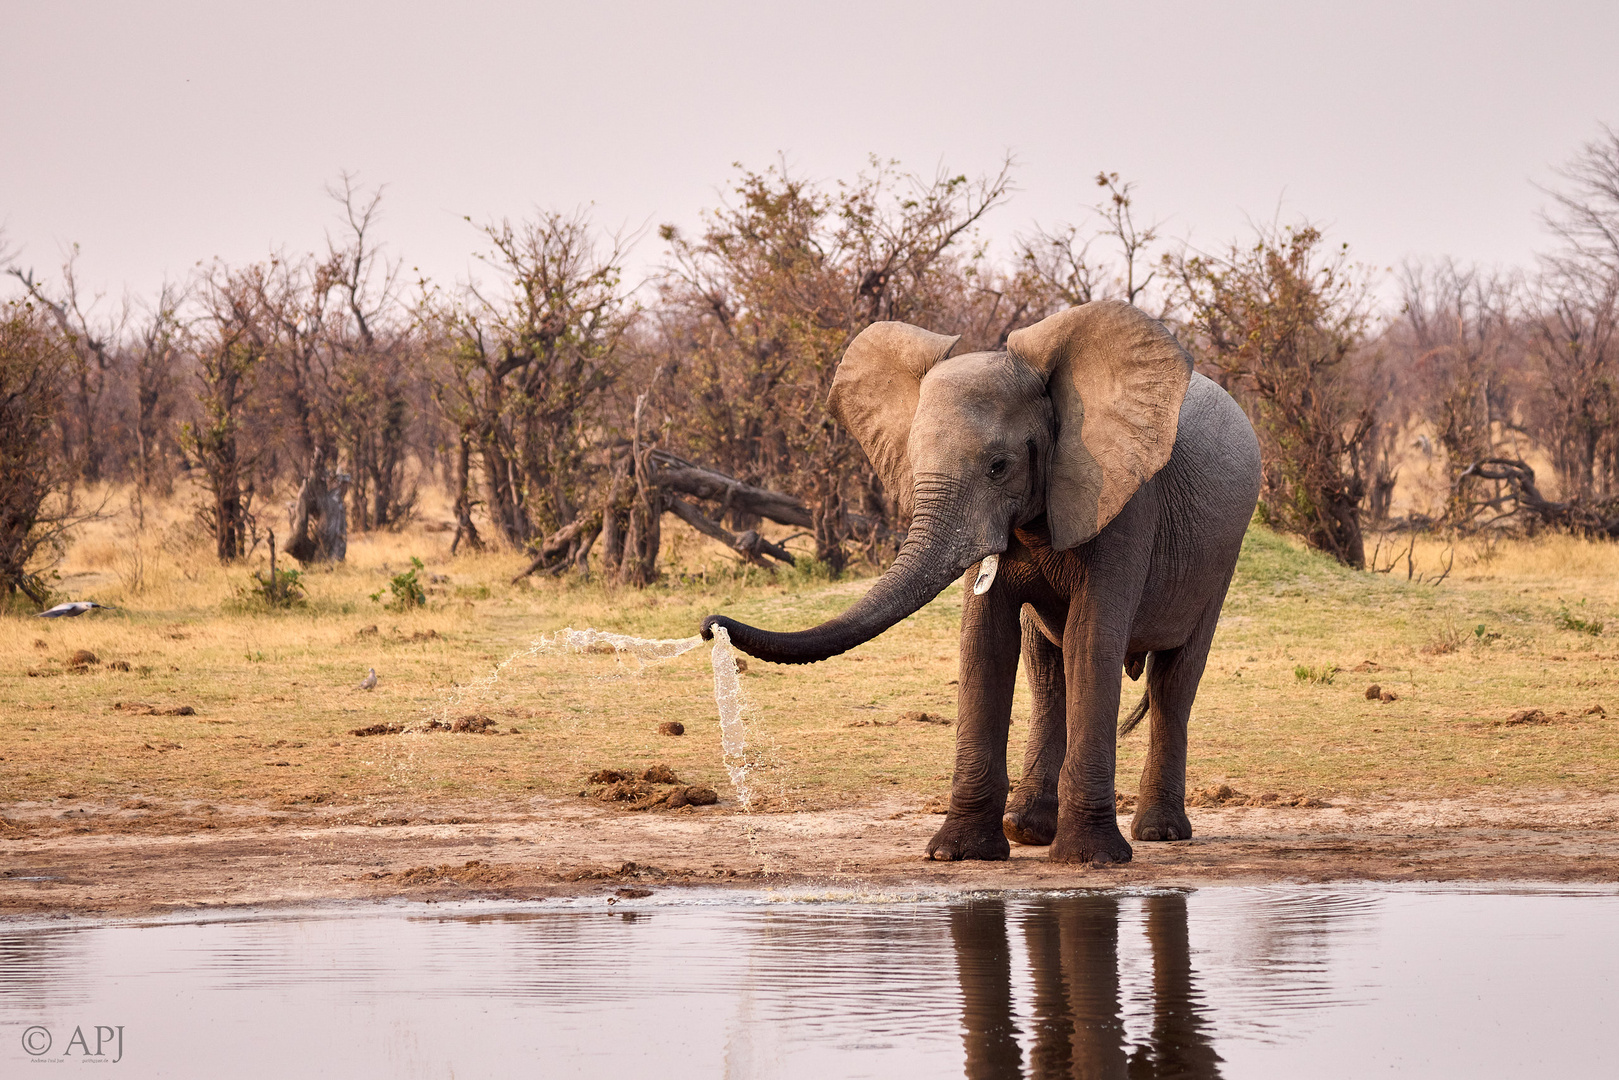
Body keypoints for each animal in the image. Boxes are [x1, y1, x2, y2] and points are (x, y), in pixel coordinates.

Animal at [702, 299, 1256, 867]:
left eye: (998, 466)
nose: (710, 625)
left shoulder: (1120, 497)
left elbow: (1091, 639)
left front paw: (1089, 860)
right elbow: (985, 640)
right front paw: (959, 853)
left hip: (1222, 559)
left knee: (1172, 681)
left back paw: (1159, 833)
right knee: (1047, 671)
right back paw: (1028, 830)